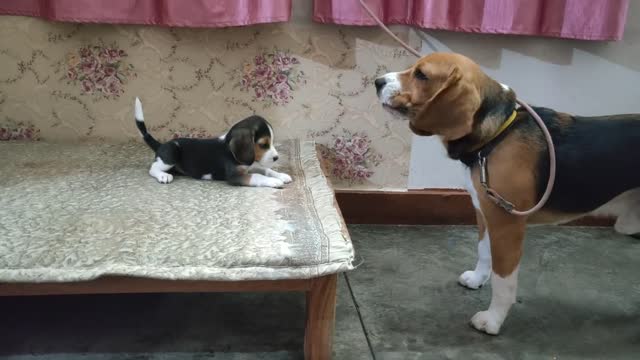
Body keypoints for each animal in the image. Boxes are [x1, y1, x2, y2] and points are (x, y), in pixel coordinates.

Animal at [136, 98, 296, 188]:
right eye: (263, 145)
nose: (276, 158)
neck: (230, 150)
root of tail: (161, 144)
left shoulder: (251, 166)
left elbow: (266, 170)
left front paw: (281, 175)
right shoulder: (235, 176)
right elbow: (258, 176)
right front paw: (274, 182)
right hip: (171, 153)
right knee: (153, 168)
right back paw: (163, 176)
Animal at [372, 52, 640, 334]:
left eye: (422, 75)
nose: (377, 82)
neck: (498, 134)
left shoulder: (507, 225)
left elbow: (503, 282)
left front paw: (493, 319)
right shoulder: (485, 213)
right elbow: (483, 252)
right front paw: (477, 279)